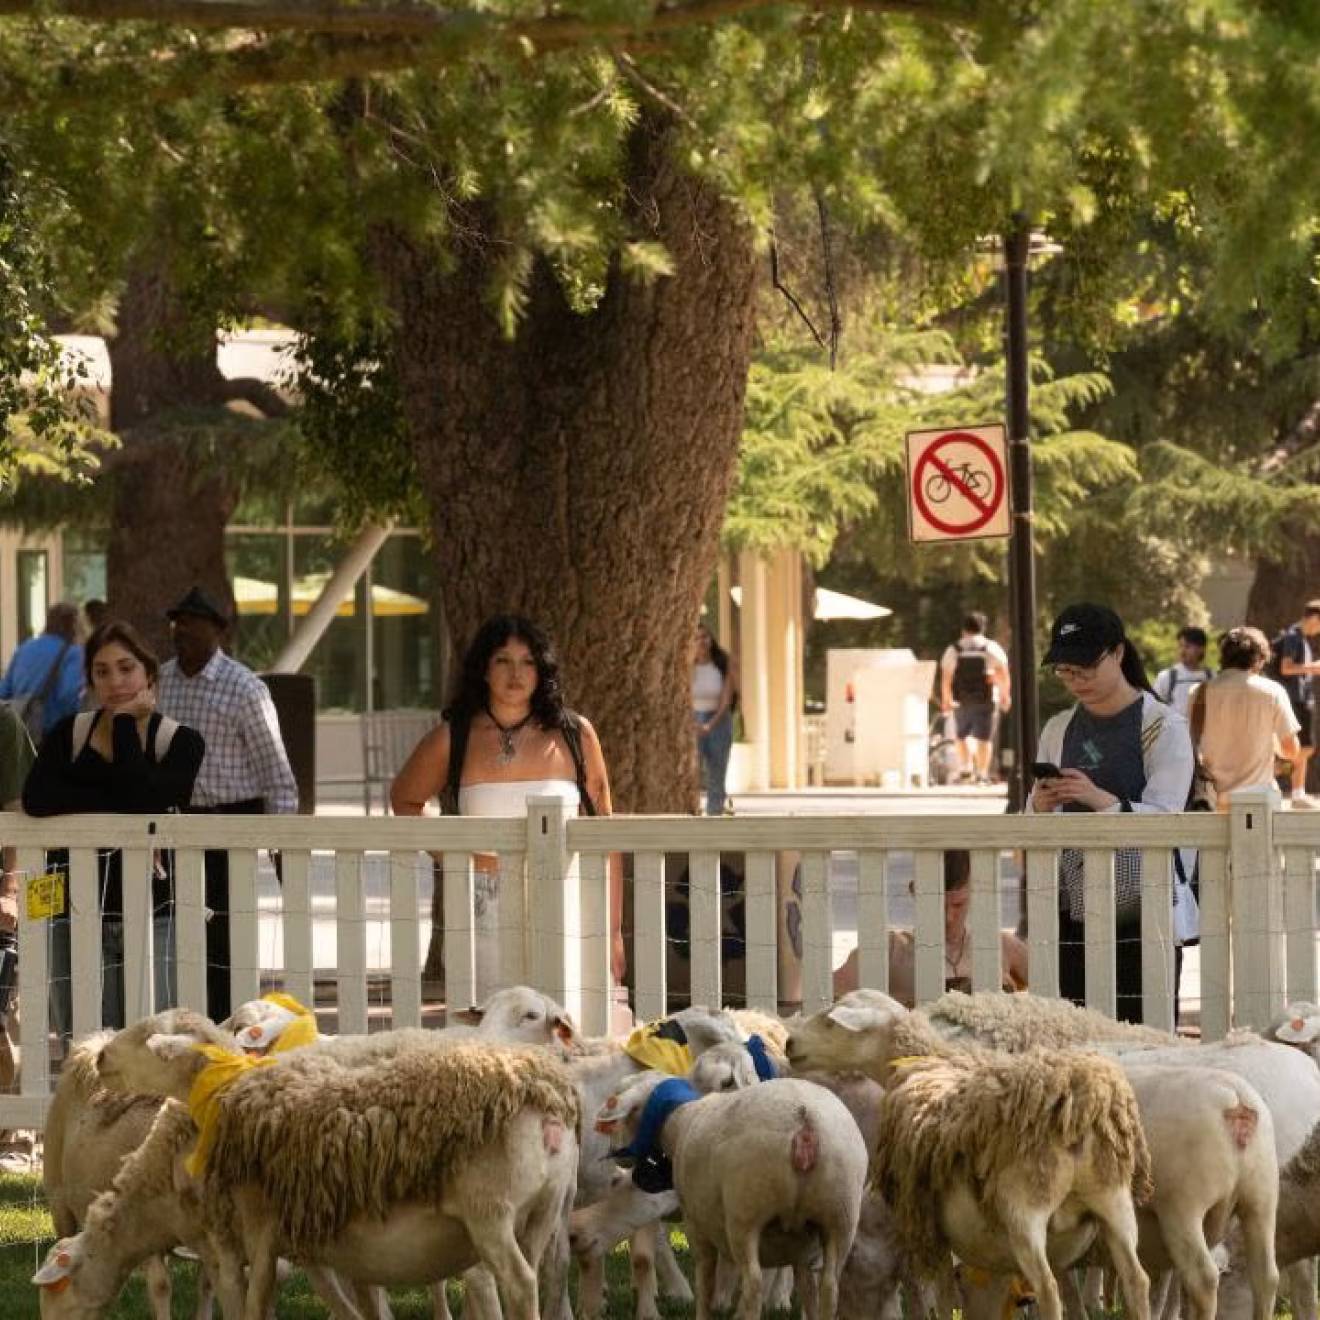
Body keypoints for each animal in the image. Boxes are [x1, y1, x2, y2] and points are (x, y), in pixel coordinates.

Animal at [595, 1069, 868, 1320]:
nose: (615, 1154)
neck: (678, 1120)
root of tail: (805, 1124)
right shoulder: (802, 1248)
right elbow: (808, 1290)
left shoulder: (697, 1224)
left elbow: (705, 1280)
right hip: (840, 1217)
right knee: (830, 1287)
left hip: (745, 1213)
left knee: (753, 1284)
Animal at [786, 989, 1153, 1320]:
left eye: (831, 1022)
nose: (789, 1044)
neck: (923, 1067)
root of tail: (1077, 1104)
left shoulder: (930, 1226)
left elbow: (946, 1299)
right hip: (1113, 1199)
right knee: (1136, 1280)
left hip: (1025, 1208)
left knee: (1048, 1289)